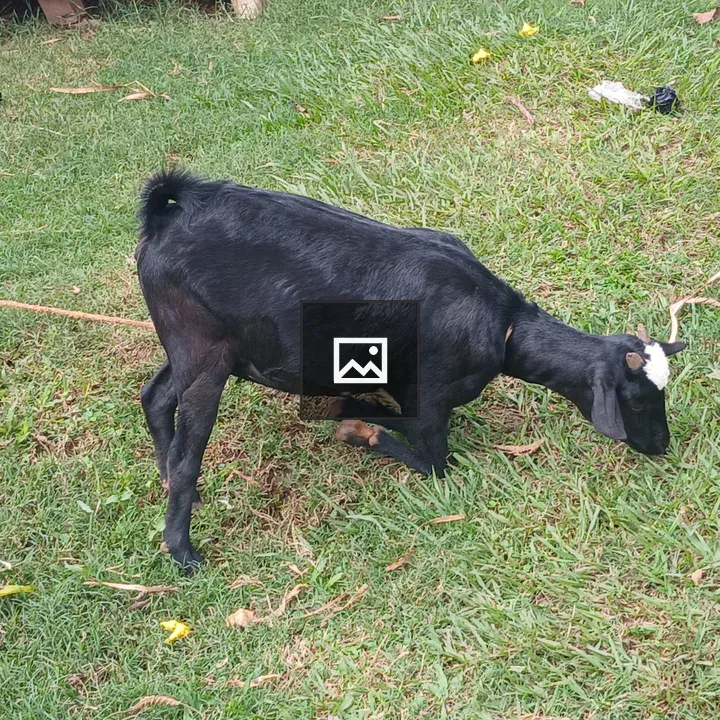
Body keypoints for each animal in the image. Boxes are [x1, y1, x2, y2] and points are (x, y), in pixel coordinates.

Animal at [136, 170, 686, 569]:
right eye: (637, 400)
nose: (662, 445)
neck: (504, 327)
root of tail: (168, 211)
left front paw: (351, 409)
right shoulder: (430, 395)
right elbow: (436, 463)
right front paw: (359, 429)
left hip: (197, 344)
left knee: (156, 395)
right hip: (203, 350)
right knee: (187, 452)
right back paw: (183, 550)